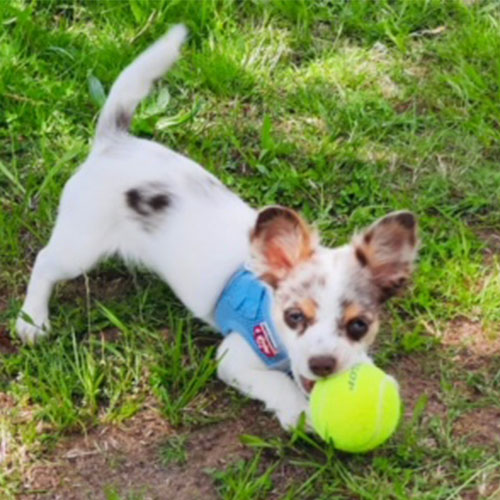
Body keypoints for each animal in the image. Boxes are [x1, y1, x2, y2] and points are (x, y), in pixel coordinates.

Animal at [16, 24, 418, 430]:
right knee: (45, 261)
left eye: (358, 326)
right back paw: (32, 320)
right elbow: (277, 383)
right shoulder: (234, 357)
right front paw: (300, 414)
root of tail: (114, 142)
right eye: (294, 317)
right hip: (80, 247)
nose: (323, 364)